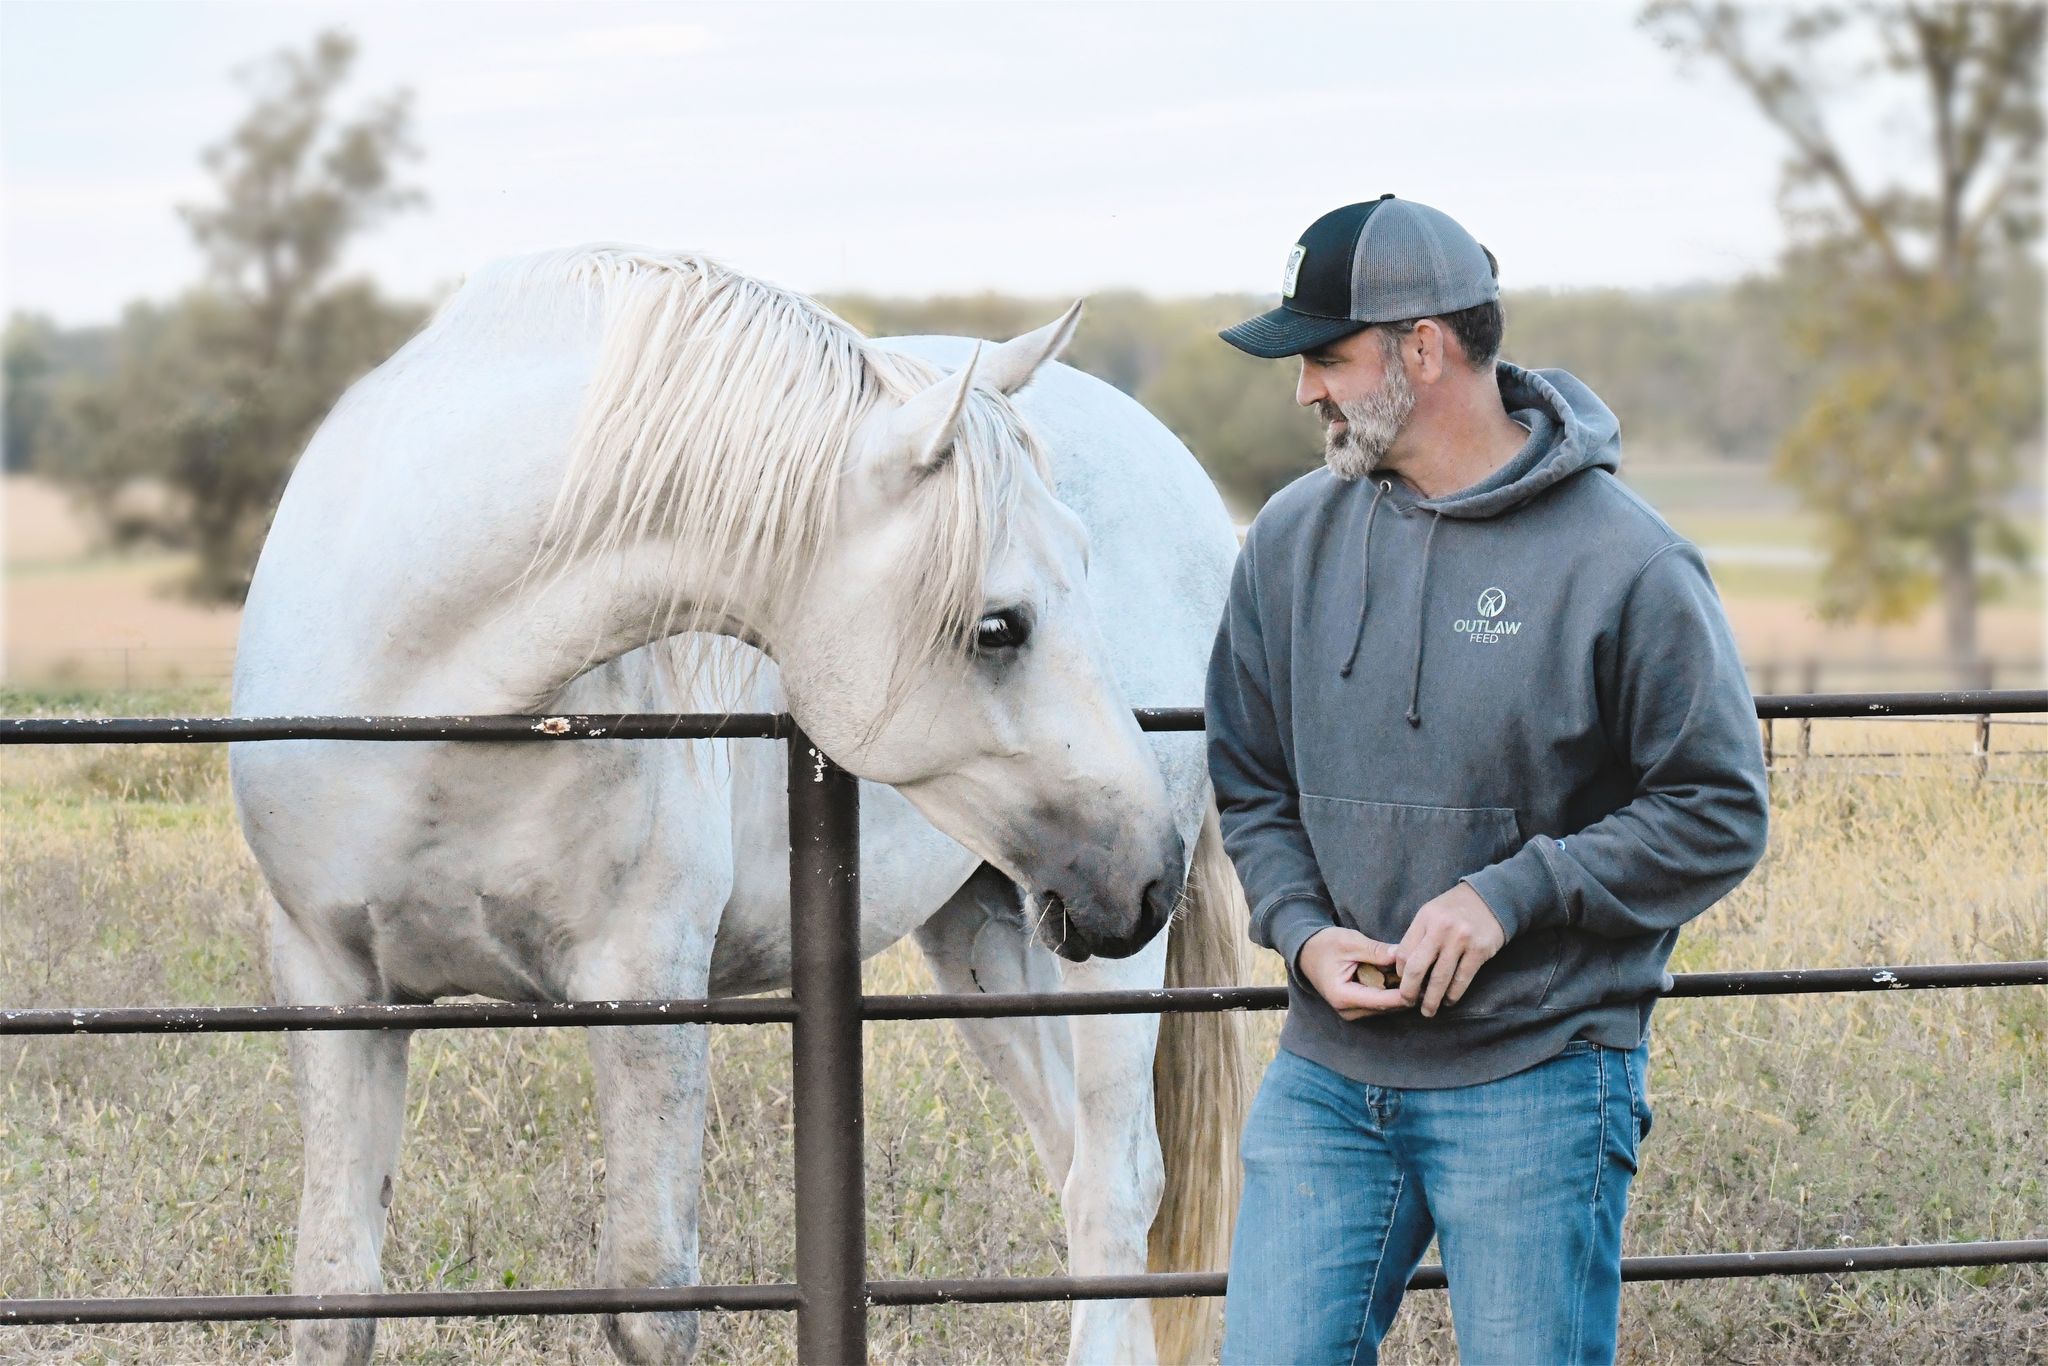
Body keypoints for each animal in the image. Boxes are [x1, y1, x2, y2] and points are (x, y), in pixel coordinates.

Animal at [228, 245, 1251, 1365]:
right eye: (998, 626)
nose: (1148, 866)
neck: (426, 699)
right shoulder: (331, 984)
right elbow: (335, 1292)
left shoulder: (646, 983)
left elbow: (649, 1298)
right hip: (992, 932)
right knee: (1075, 1167)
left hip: (1101, 965)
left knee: (1116, 1186)